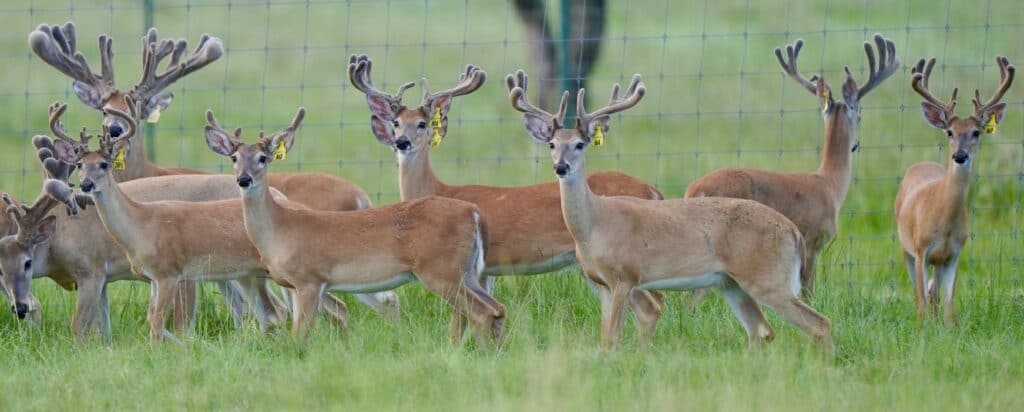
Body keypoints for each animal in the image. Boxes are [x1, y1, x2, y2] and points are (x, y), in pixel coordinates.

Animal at [203, 107, 506, 343]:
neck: (280, 229)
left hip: (440, 270)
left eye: (263, 158)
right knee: (497, 308)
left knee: (481, 312)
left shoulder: (310, 279)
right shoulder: (297, 285)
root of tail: (474, 213)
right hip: (468, 272)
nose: (243, 179)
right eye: (234, 158)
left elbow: (300, 335)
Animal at [348, 55, 667, 342]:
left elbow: (457, 323)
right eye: (396, 122)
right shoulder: (487, 271)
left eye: (423, 124)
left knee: (650, 304)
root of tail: (653, 190)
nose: (402, 142)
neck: (437, 190)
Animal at [507, 70, 833, 351]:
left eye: (579, 144)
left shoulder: (625, 276)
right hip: (730, 282)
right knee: (762, 330)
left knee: (819, 323)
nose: (561, 167)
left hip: (768, 278)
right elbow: (605, 337)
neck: (596, 224)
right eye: (551, 143)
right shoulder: (600, 281)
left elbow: (614, 337)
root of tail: (792, 231)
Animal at [685, 34, 899, 298]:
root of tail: (695, 190)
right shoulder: (813, 240)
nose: (856, 145)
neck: (830, 183)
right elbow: (807, 289)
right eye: (860, 113)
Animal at [896, 56, 1014, 324]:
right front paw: (922, 328)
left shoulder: (954, 254)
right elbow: (921, 301)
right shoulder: (921, 249)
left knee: (935, 295)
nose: (959, 156)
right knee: (921, 294)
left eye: (976, 132)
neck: (944, 222)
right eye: (949, 131)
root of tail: (921, 164)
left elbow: (949, 304)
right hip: (906, 248)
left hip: (938, 262)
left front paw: (947, 328)